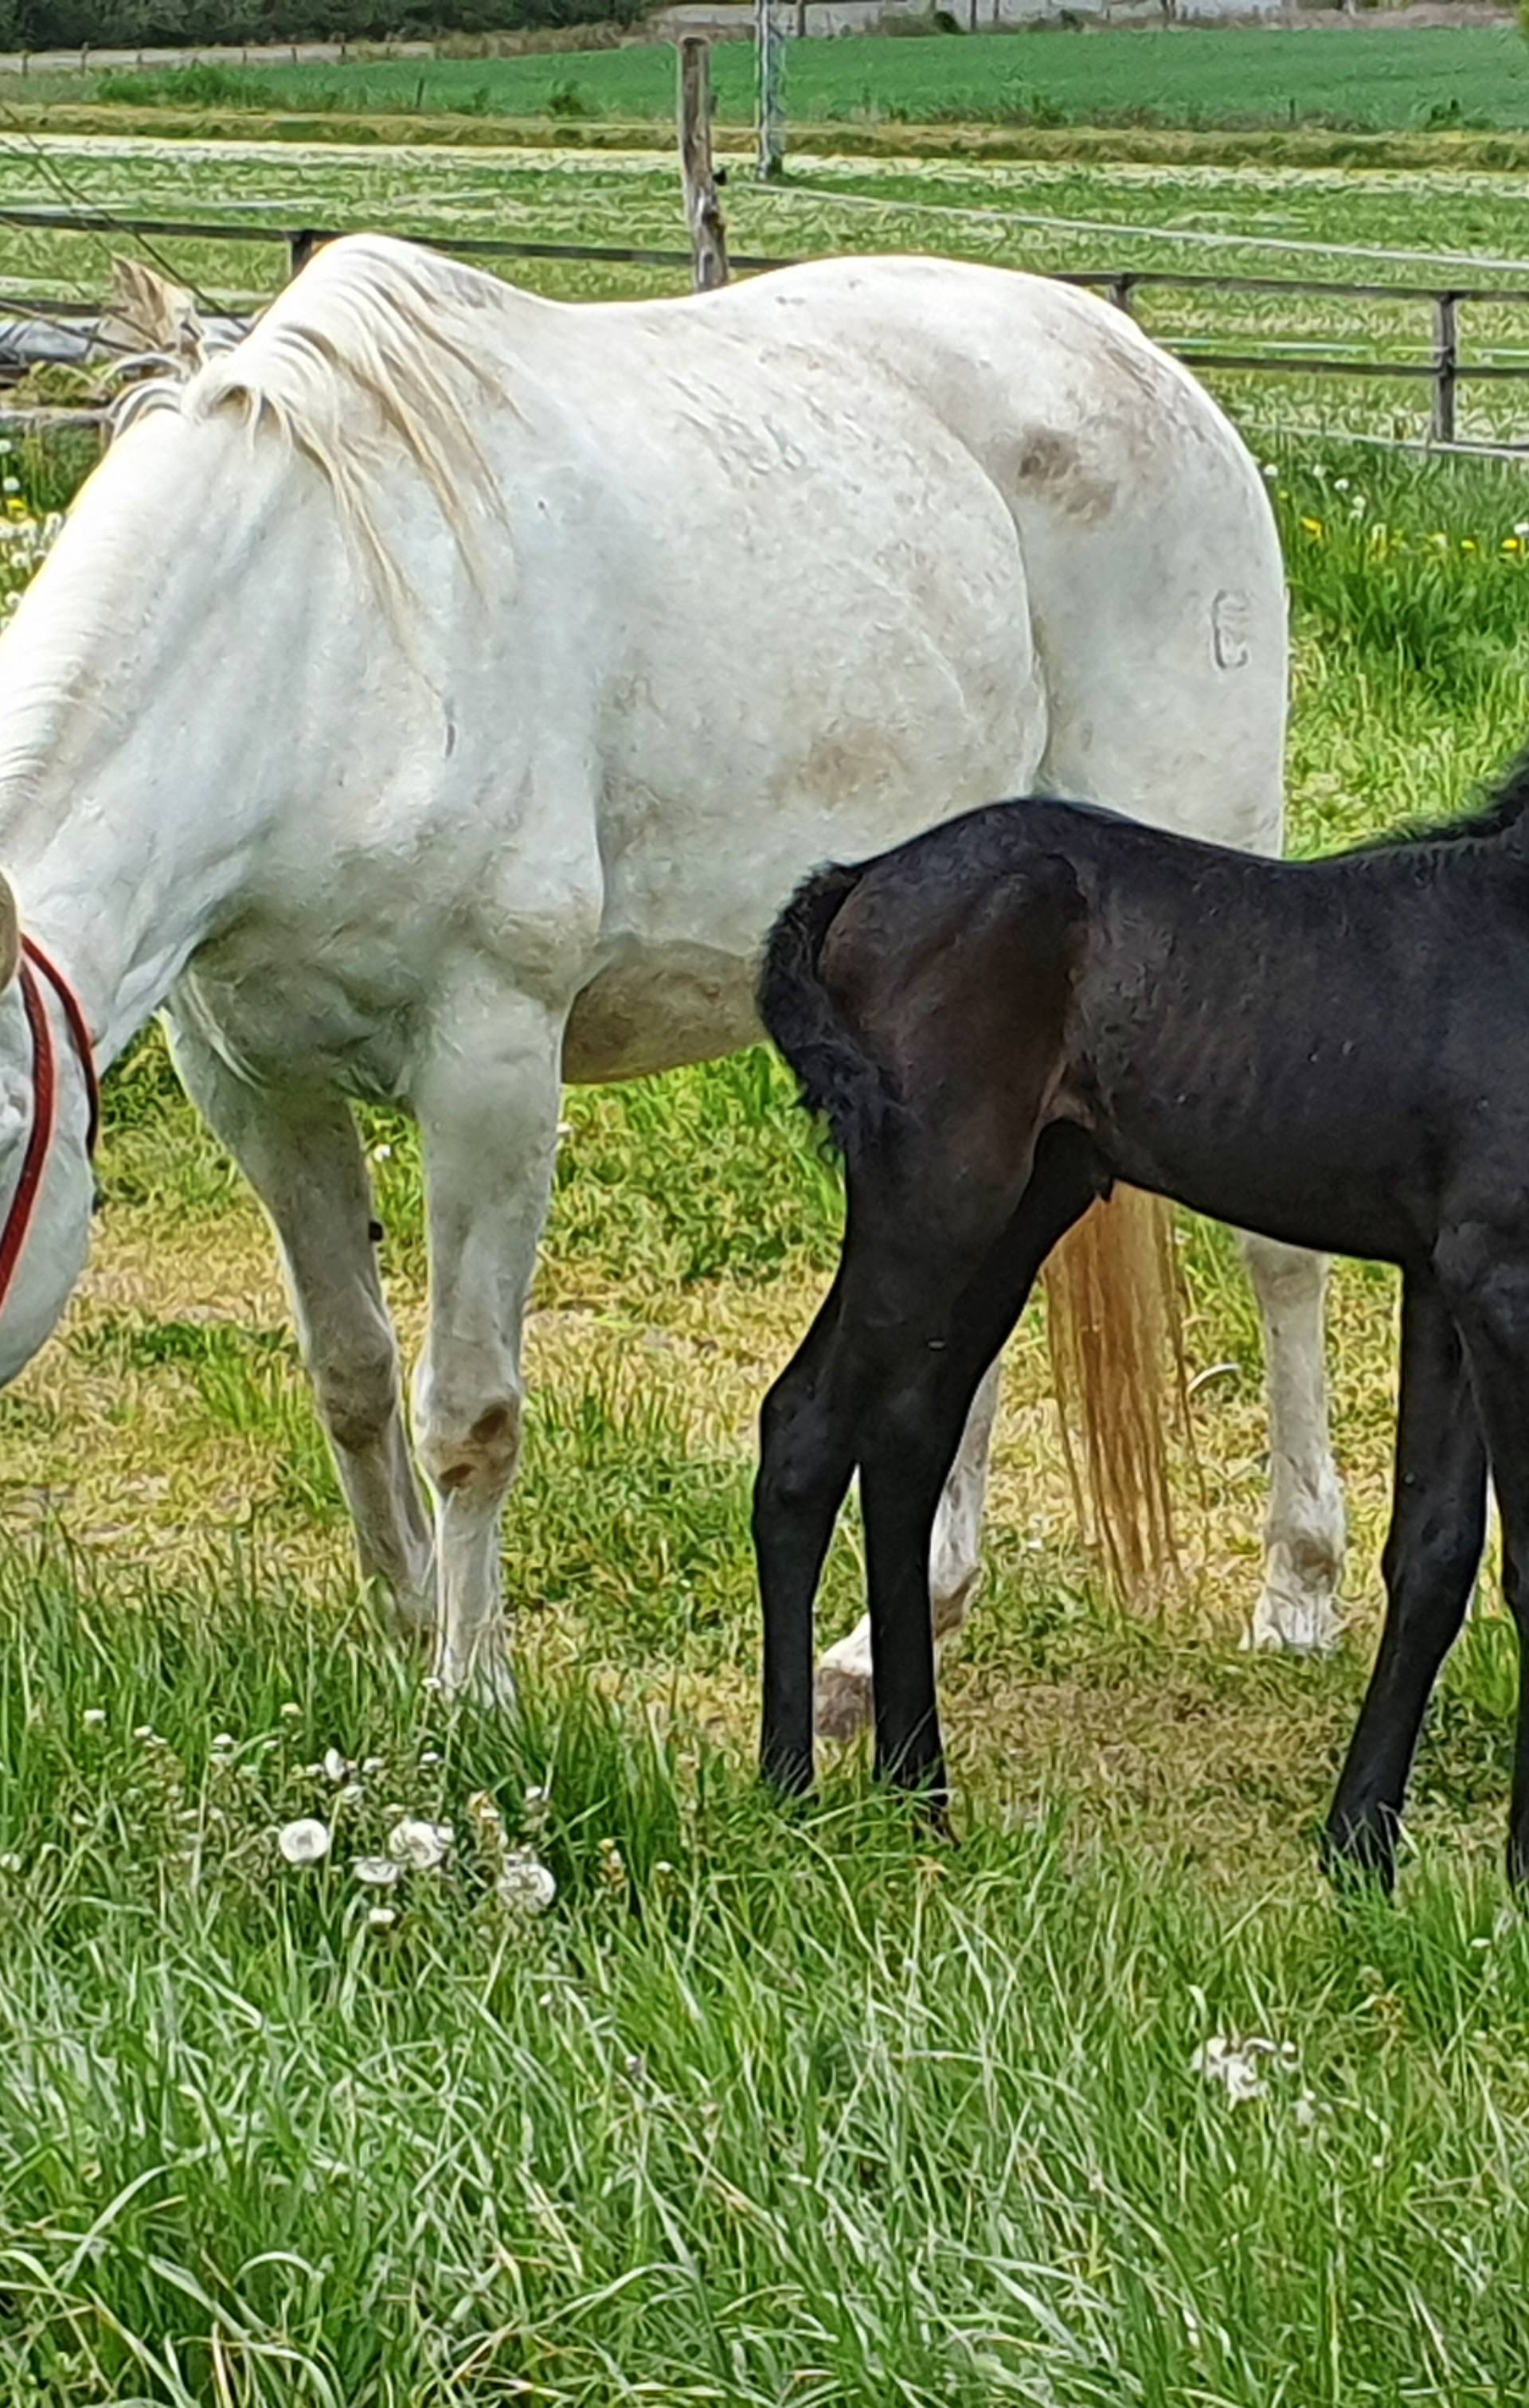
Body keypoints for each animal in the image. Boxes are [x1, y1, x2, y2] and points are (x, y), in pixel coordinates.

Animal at [0, 234, 1348, 1704]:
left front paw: (473, 1695)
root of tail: (1152, 371)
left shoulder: (492, 1065)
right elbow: (352, 1375)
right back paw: (885, 1642)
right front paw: (410, 1633)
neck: (323, 639)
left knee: (1279, 1257)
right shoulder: (254, 1079)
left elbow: (469, 1409)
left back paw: (1300, 1590)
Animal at [756, 760, 1529, 1887]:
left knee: (902, 1439)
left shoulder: (1444, 1280)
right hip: (936, 1197)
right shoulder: (1499, 1277)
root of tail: (858, 878)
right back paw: (787, 1791)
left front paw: (1359, 1850)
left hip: (1022, 1207)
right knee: (806, 1429)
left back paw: (920, 1798)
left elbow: (1434, 1553)